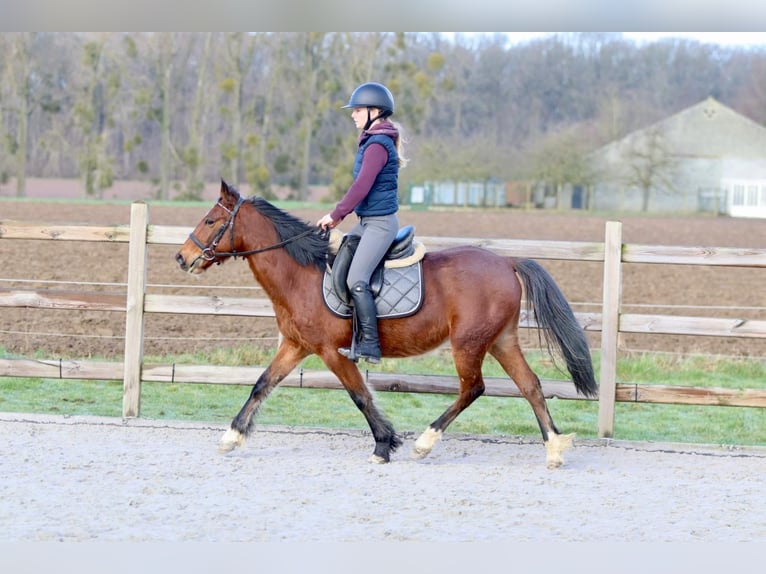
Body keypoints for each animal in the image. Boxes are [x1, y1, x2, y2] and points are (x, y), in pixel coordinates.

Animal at [175, 180, 598, 469]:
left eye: (211, 220)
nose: (182, 258)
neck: (301, 274)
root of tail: (507, 262)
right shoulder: (296, 345)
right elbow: (262, 384)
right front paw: (232, 436)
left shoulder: (332, 352)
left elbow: (360, 395)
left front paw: (384, 443)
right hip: (501, 340)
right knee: (530, 386)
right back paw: (554, 449)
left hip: (469, 344)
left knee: (473, 388)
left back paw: (425, 442)